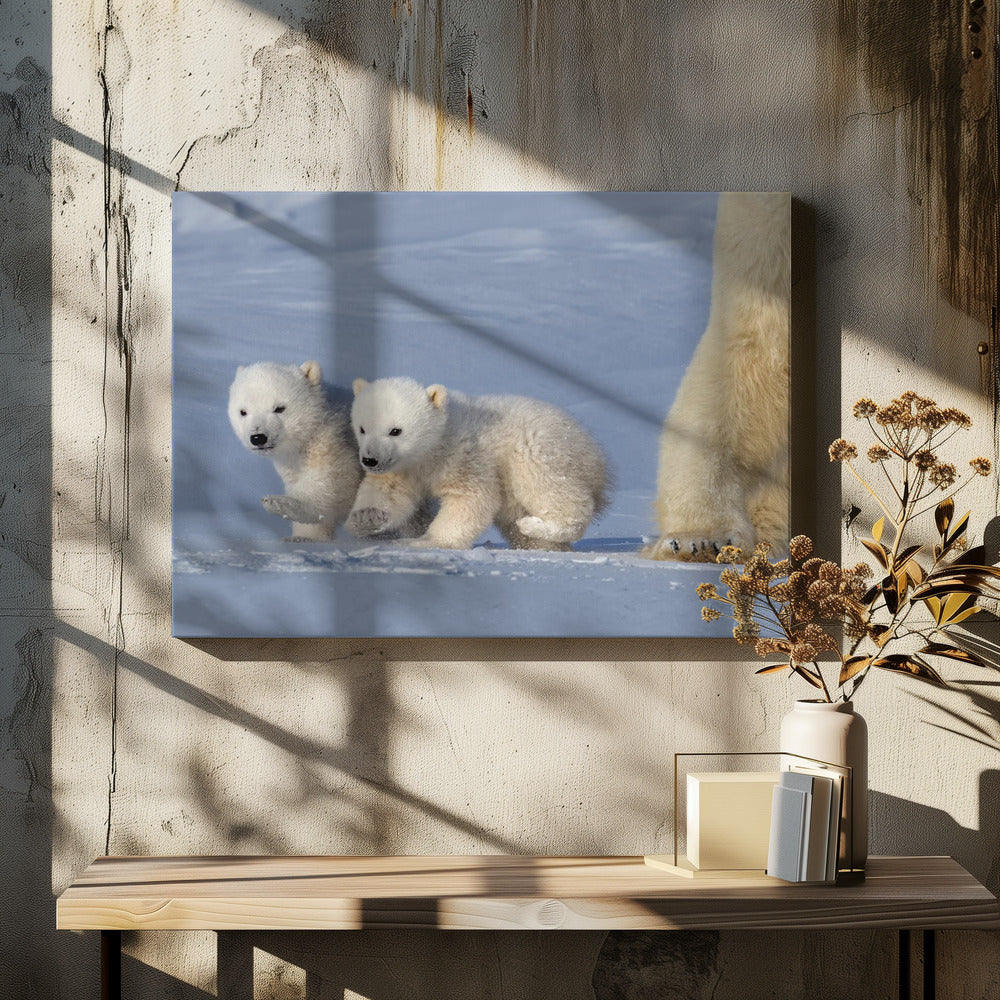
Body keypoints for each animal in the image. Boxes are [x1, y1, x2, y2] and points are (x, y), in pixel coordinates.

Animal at [228, 360, 361, 541]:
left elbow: (331, 489)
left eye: (279, 408)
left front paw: (279, 503)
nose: (258, 437)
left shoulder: (335, 445)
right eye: (243, 412)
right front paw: (303, 537)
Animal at [346, 377, 610, 551]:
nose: (369, 460)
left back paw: (536, 526)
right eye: (362, 428)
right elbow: (387, 492)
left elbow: (471, 497)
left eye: (395, 430)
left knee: (550, 489)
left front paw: (426, 541)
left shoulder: (463, 456)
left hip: (539, 451)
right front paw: (366, 517)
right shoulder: (402, 468)